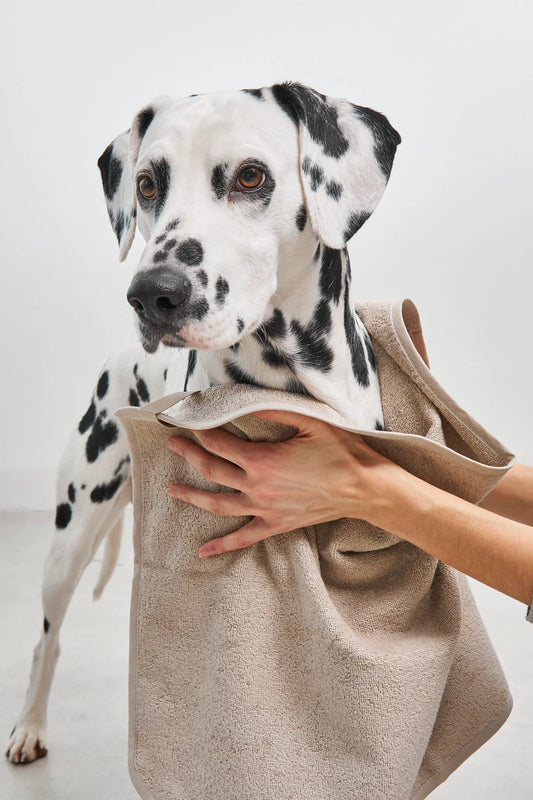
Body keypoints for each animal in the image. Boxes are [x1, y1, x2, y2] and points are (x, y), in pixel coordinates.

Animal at [5, 81, 400, 764]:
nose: (152, 294)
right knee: (45, 642)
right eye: (146, 184)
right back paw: (29, 725)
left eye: (250, 176)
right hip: (70, 537)